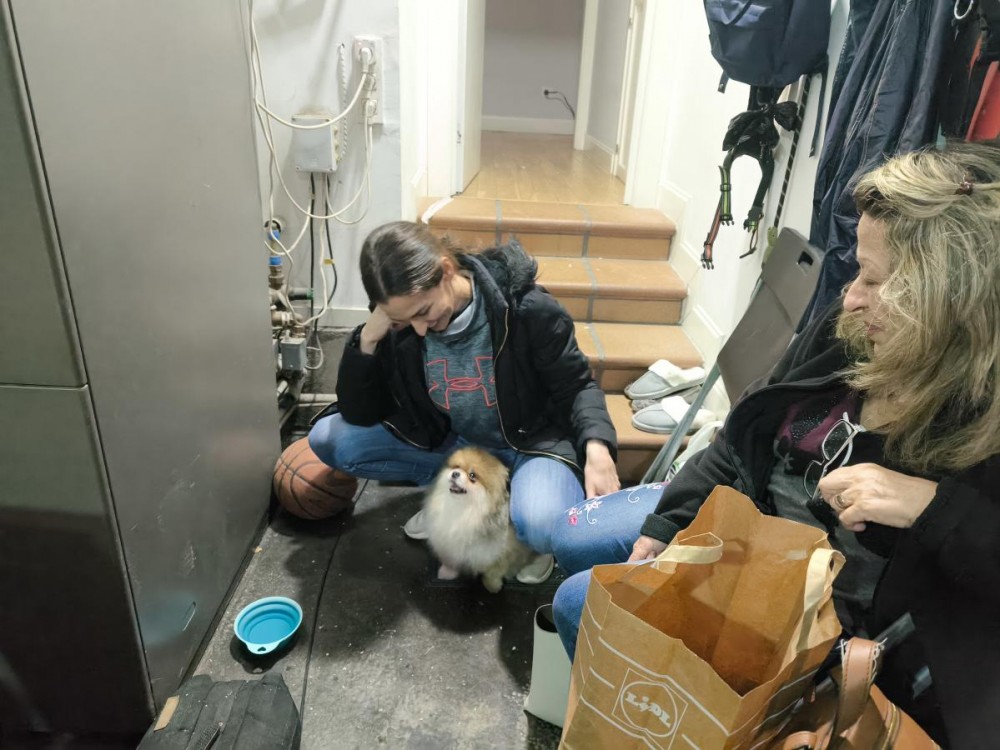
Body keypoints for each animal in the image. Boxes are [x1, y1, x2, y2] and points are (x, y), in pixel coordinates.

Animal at [424, 446, 535, 593]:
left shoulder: (499, 551)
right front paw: (447, 573)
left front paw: (492, 585)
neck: (464, 510)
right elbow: (451, 560)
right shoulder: (448, 542)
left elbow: (494, 571)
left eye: (472, 476)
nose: (455, 474)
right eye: (456, 467)